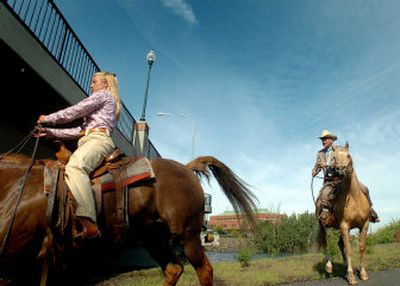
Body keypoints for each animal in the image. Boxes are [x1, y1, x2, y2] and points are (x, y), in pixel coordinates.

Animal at [318, 144, 370, 284]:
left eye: (348, 155)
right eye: (334, 157)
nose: (341, 170)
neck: (354, 197)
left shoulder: (364, 224)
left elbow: (361, 247)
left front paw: (362, 273)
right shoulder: (344, 226)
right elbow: (349, 250)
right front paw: (351, 276)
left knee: (340, 245)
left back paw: (345, 268)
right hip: (323, 225)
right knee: (325, 243)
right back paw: (329, 266)